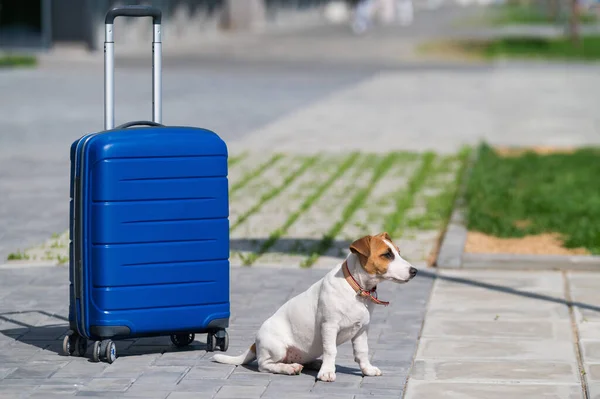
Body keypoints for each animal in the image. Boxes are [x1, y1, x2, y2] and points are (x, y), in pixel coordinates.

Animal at [213, 233, 420, 382]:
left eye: (398, 252)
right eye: (387, 255)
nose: (415, 271)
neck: (357, 289)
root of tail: (255, 344)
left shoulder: (362, 330)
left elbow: (362, 352)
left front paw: (367, 369)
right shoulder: (329, 326)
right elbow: (331, 350)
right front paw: (327, 372)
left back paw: (311, 363)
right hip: (276, 347)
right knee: (265, 365)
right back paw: (289, 368)